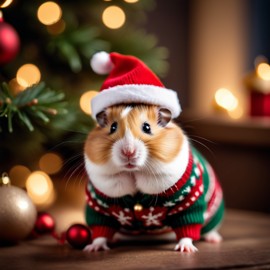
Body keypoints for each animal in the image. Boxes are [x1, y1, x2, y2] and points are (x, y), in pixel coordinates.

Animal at [84, 104, 224, 253]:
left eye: (147, 127)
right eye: (113, 127)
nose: (128, 152)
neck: (133, 173)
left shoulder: (188, 202)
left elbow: (187, 226)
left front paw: (186, 249)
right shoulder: (98, 205)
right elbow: (100, 229)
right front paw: (92, 249)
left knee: (210, 229)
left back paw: (214, 239)